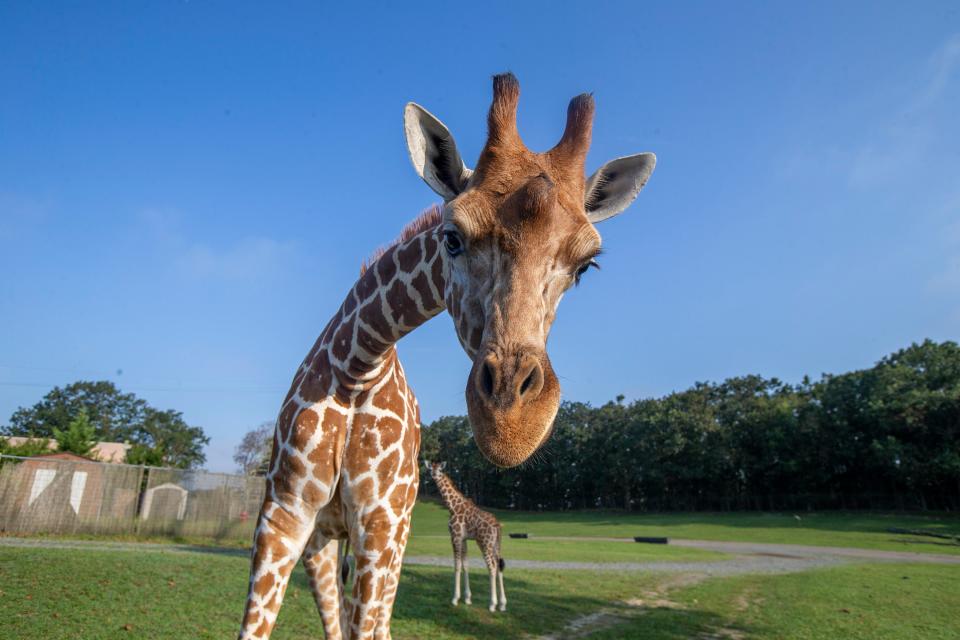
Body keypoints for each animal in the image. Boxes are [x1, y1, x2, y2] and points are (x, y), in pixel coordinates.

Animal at [426, 460, 506, 608]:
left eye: (440, 470)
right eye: (430, 469)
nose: (434, 475)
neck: (452, 507)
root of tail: (497, 526)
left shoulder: (455, 536)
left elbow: (457, 565)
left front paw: (455, 599)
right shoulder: (464, 539)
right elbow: (465, 565)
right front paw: (467, 598)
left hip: (484, 543)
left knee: (491, 567)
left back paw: (492, 604)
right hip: (495, 545)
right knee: (498, 565)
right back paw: (502, 604)